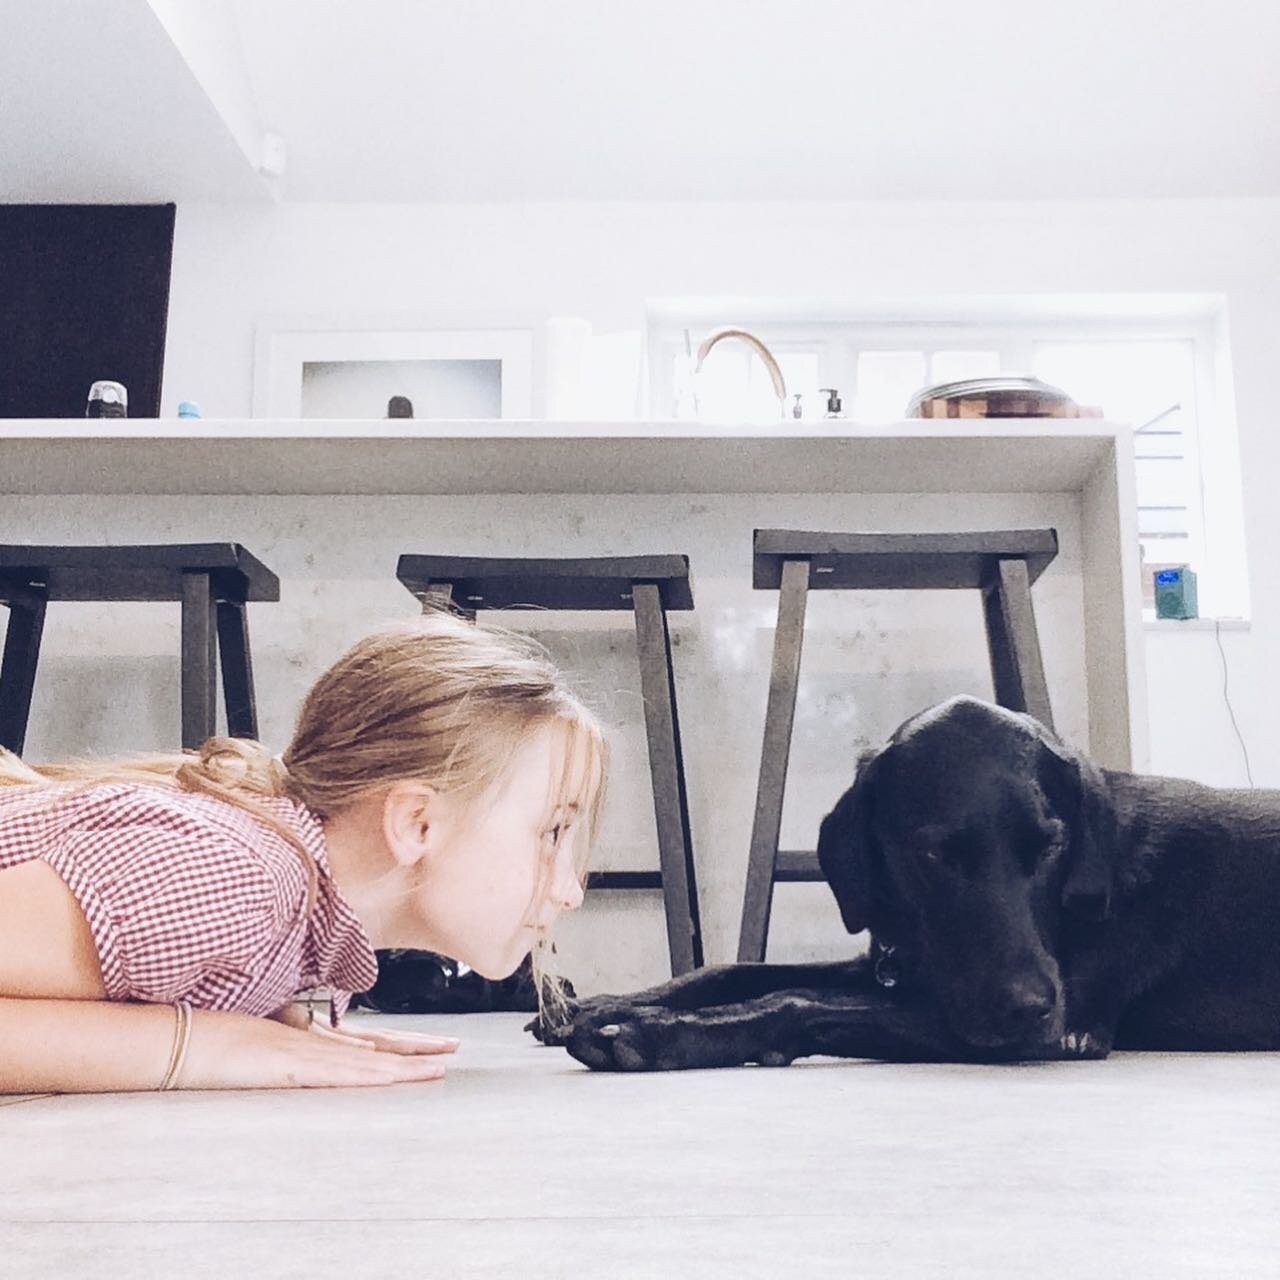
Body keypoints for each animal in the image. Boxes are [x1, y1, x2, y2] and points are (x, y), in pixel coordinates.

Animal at [529, 696, 1280, 1064]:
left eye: (1051, 845)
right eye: (934, 855)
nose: (1030, 1007)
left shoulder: (1050, 1033)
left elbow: (795, 1000)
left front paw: (653, 1033)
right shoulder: (893, 966)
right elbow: (736, 970)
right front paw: (602, 1004)